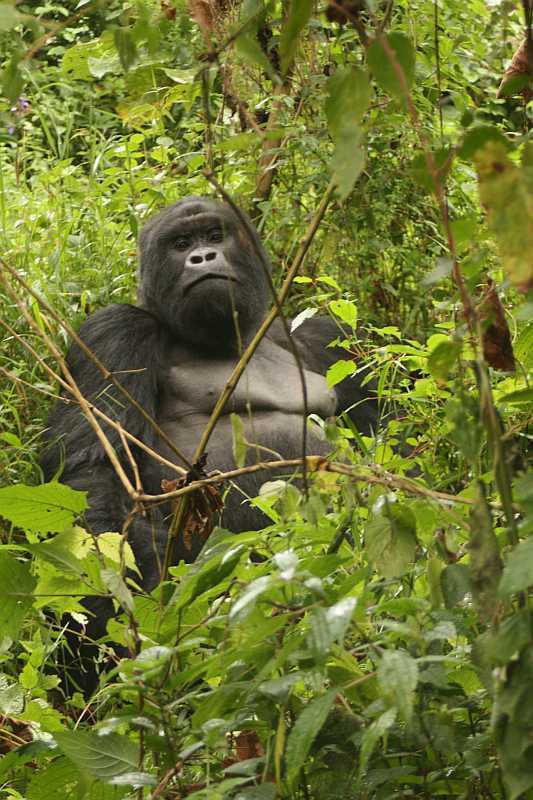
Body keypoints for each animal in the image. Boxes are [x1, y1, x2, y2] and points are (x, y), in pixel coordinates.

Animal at [42, 195, 378, 692]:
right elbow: (94, 472)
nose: (202, 258)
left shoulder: (329, 337)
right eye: (181, 244)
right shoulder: (113, 330)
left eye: (215, 236)